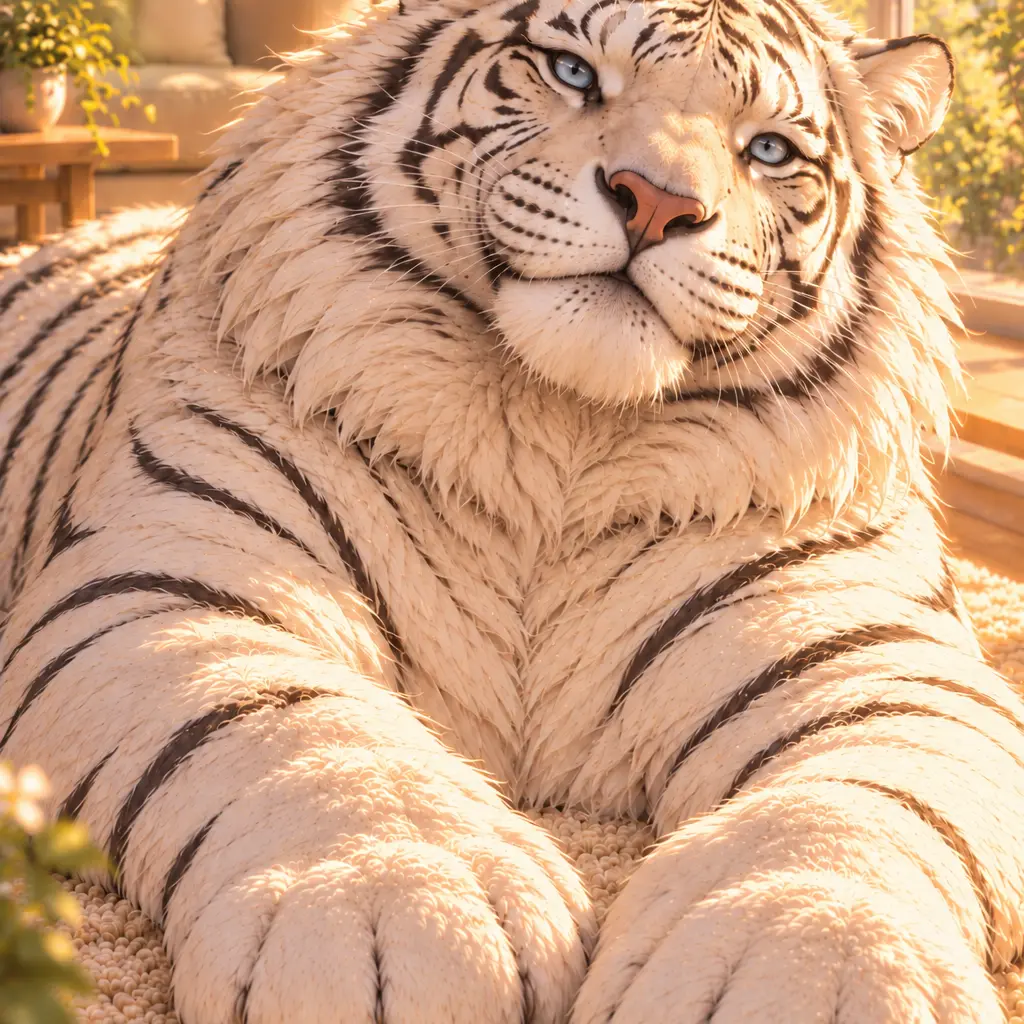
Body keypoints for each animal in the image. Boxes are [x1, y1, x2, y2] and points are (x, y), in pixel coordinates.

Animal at [0, 0, 1021, 1019]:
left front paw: (815, 965)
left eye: (768, 148)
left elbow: (868, 795)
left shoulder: (883, 652)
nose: (657, 202)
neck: (558, 437)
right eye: (573, 73)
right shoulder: (164, 581)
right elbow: (295, 722)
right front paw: (401, 908)